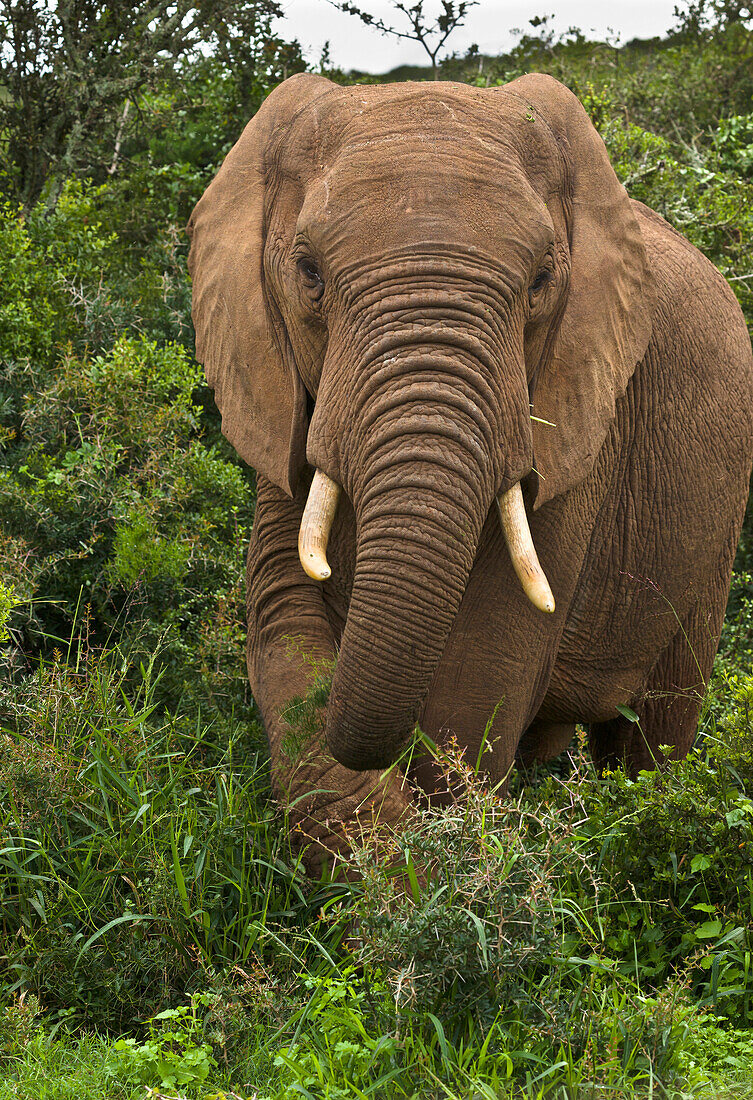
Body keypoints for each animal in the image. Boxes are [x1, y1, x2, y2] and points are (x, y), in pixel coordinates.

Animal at [186, 73, 751, 871]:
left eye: (541, 281)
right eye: (308, 274)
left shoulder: (577, 423)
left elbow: (479, 671)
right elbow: (284, 629)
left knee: (658, 731)